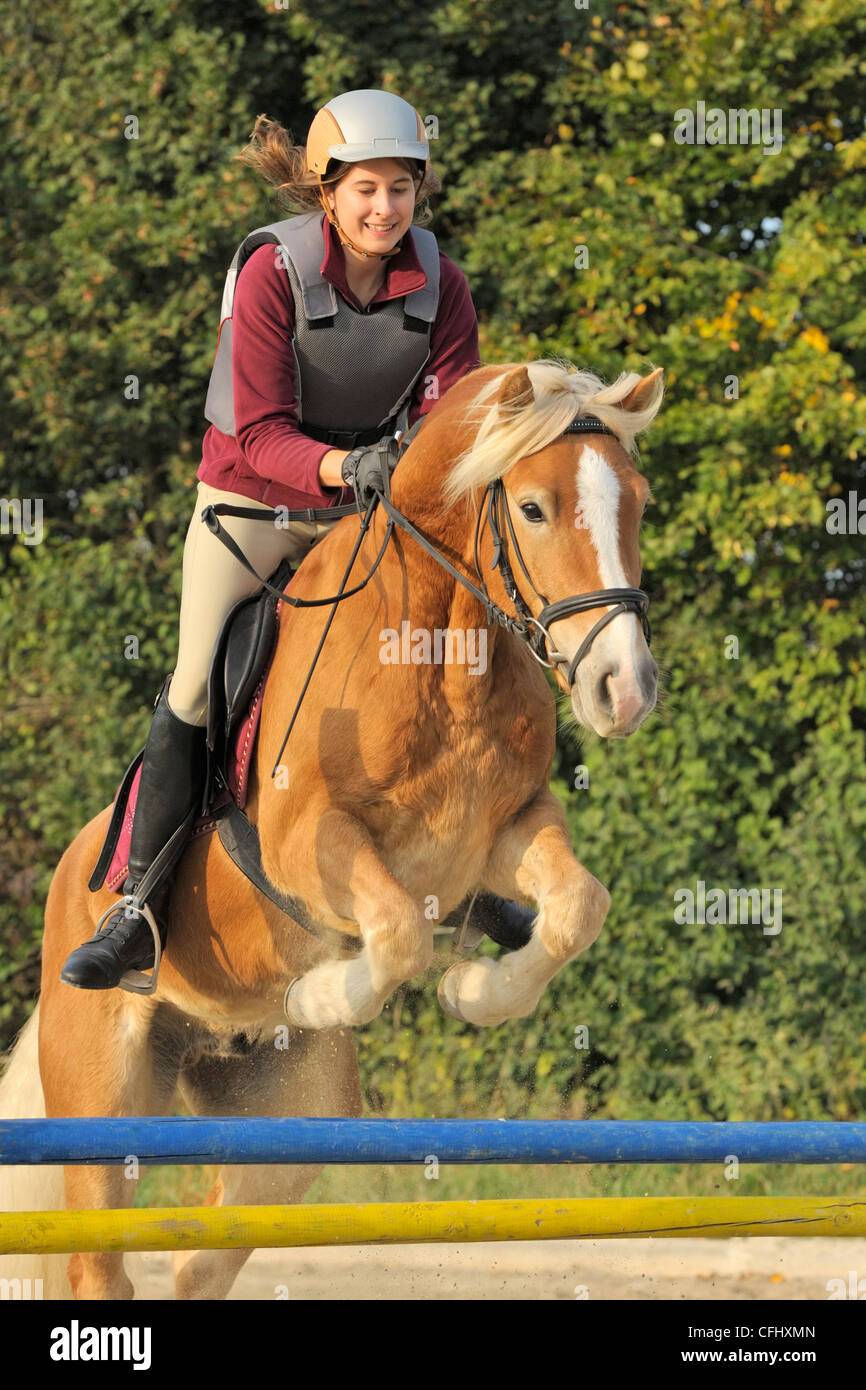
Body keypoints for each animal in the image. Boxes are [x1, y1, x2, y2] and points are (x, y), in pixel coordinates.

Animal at [0, 355, 664, 1289]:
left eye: (637, 503)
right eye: (534, 508)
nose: (624, 689)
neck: (440, 650)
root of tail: (71, 878)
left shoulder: (501, 836)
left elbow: (576, 907)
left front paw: (473, 991)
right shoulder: (307, 844)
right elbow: (397, 931)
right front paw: (321, 993)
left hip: (279, 1122)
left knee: (201, 1262)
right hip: (101, 1098)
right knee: (101, 1261)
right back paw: (122, 941)